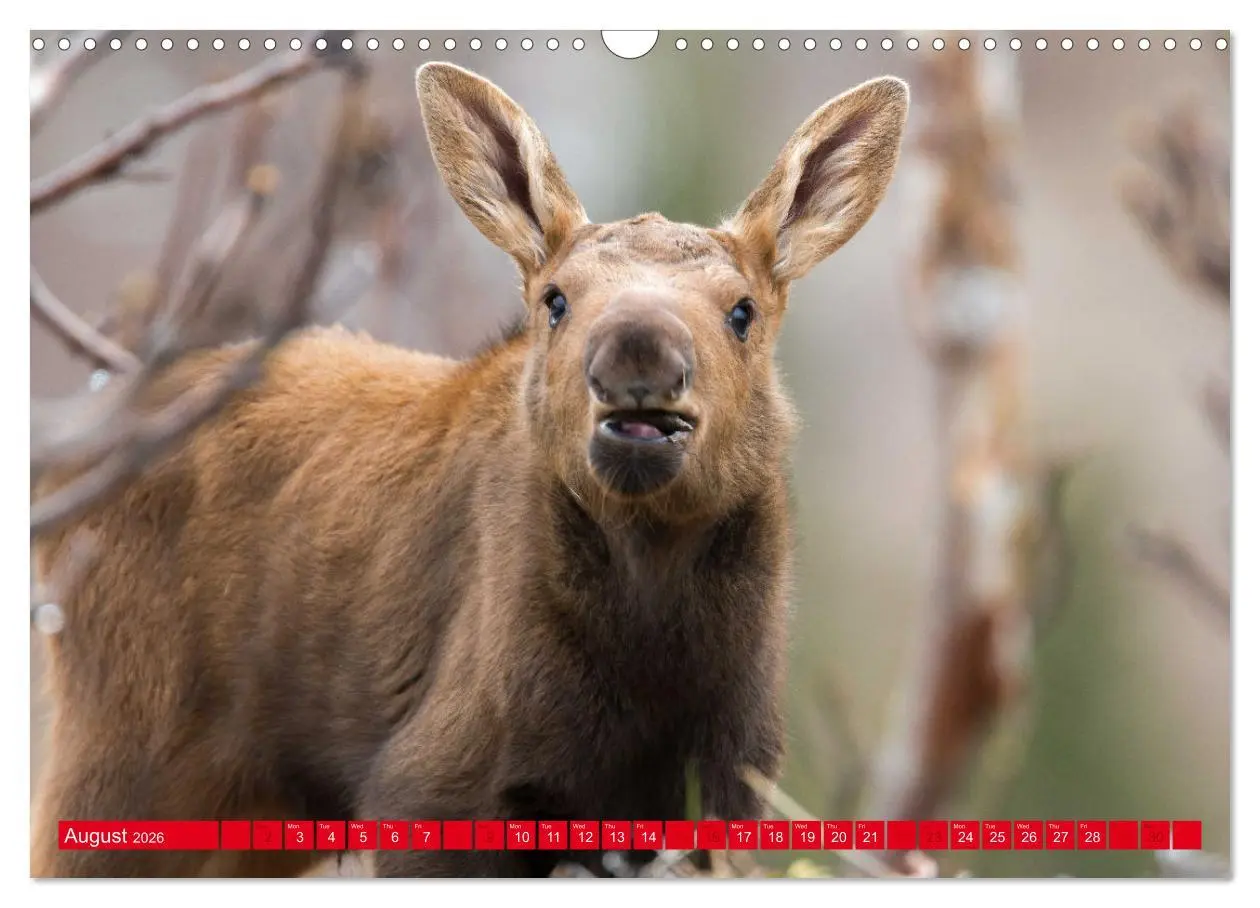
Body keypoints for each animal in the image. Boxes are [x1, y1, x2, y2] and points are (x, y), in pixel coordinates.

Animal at [31, 62, 908, 877]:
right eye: (555, 298)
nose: (638, 352)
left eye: (742, 310)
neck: (653, 652)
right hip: (123, 750)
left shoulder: (721, 805)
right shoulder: (431, 789)